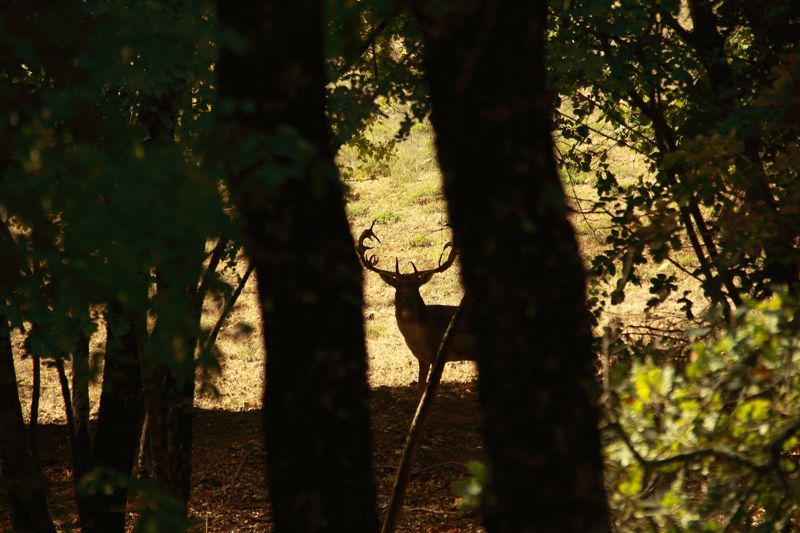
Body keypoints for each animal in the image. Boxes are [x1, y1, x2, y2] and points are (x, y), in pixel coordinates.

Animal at [356, 220, 476, 390]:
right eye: (398, 286)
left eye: (416, 285)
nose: (407, 297)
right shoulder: (422, 358)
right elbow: (420, 387)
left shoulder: (439, 354)